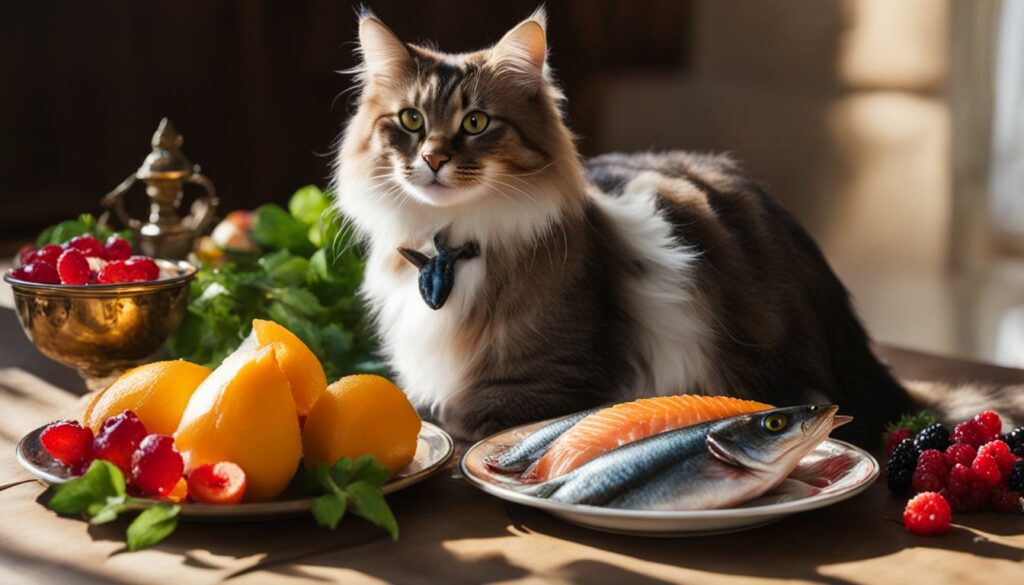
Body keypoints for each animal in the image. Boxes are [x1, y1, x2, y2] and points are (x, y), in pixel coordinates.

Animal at [331, 6, 1019, 444]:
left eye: (476, 124)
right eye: (412, 121)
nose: (433, 159)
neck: (448, 246)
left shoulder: (539, 388)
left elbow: (465, 420)